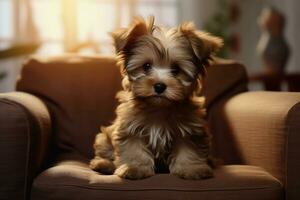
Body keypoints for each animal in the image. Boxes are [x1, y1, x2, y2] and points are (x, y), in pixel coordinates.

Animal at [89, 16, 223, 180]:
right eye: (146, 66)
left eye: (176, 69)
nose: (159, 86)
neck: (159, 108)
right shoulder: (130, 128)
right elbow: (133, 149)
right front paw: (135, 168)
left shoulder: (190, 129)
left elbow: (189, 149)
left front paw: (192, 168)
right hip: (104, 138)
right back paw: (103, 164)